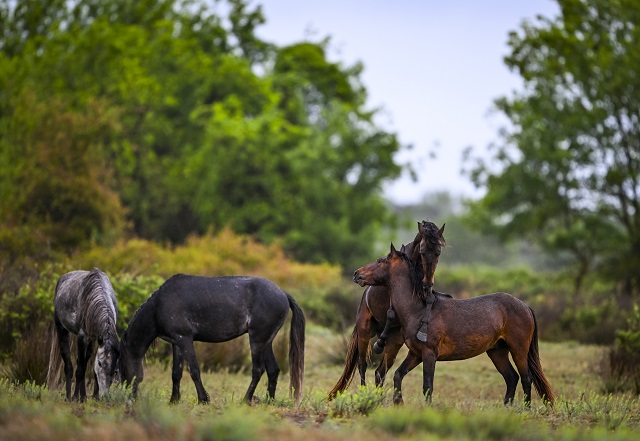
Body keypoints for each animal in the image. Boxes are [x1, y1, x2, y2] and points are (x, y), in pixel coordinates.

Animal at [47, 266, 120, 400]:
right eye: (100, 363)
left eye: (115, 369)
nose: (104, 395)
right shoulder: (82, 337)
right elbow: (80, 370)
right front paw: (76, 397)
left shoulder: (96, 338)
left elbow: (89, 368)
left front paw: (94, 396)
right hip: (62, 330)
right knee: (69, 365)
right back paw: (69, 397)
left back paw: (83, 396)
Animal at [122, 274, 308, 404]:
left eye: (119, 364)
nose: (127, 396)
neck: (158, 306)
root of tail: (282, 293)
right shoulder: (176, 342)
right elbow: (176, 373)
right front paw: (174, 400)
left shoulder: (185, 339)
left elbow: (194, 370)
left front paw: (203, 399)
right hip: (266, 342)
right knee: (273, 370)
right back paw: (269, 401)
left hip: (257, 339)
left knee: (258, 370)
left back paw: (245, 400)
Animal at [328, 222, 442, 398]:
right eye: (423, 251)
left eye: (438, 252)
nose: (427, 284)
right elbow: (390, 313)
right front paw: (379, 343)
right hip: (364, 332)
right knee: (362, 365)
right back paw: (365, 392)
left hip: (395, 342)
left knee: (380, 371)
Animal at [350, 244, 556, 406]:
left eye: (380, 260)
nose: (357, 273)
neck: (418, 309)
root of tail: (525, 306)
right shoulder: (415, 354)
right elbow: (398, 375)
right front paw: (398, 403)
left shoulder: (429, 354)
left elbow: (427, 386)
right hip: (497, 351)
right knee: (512, 378)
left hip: (518, 349)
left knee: (526, 378)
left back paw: (525, 410)